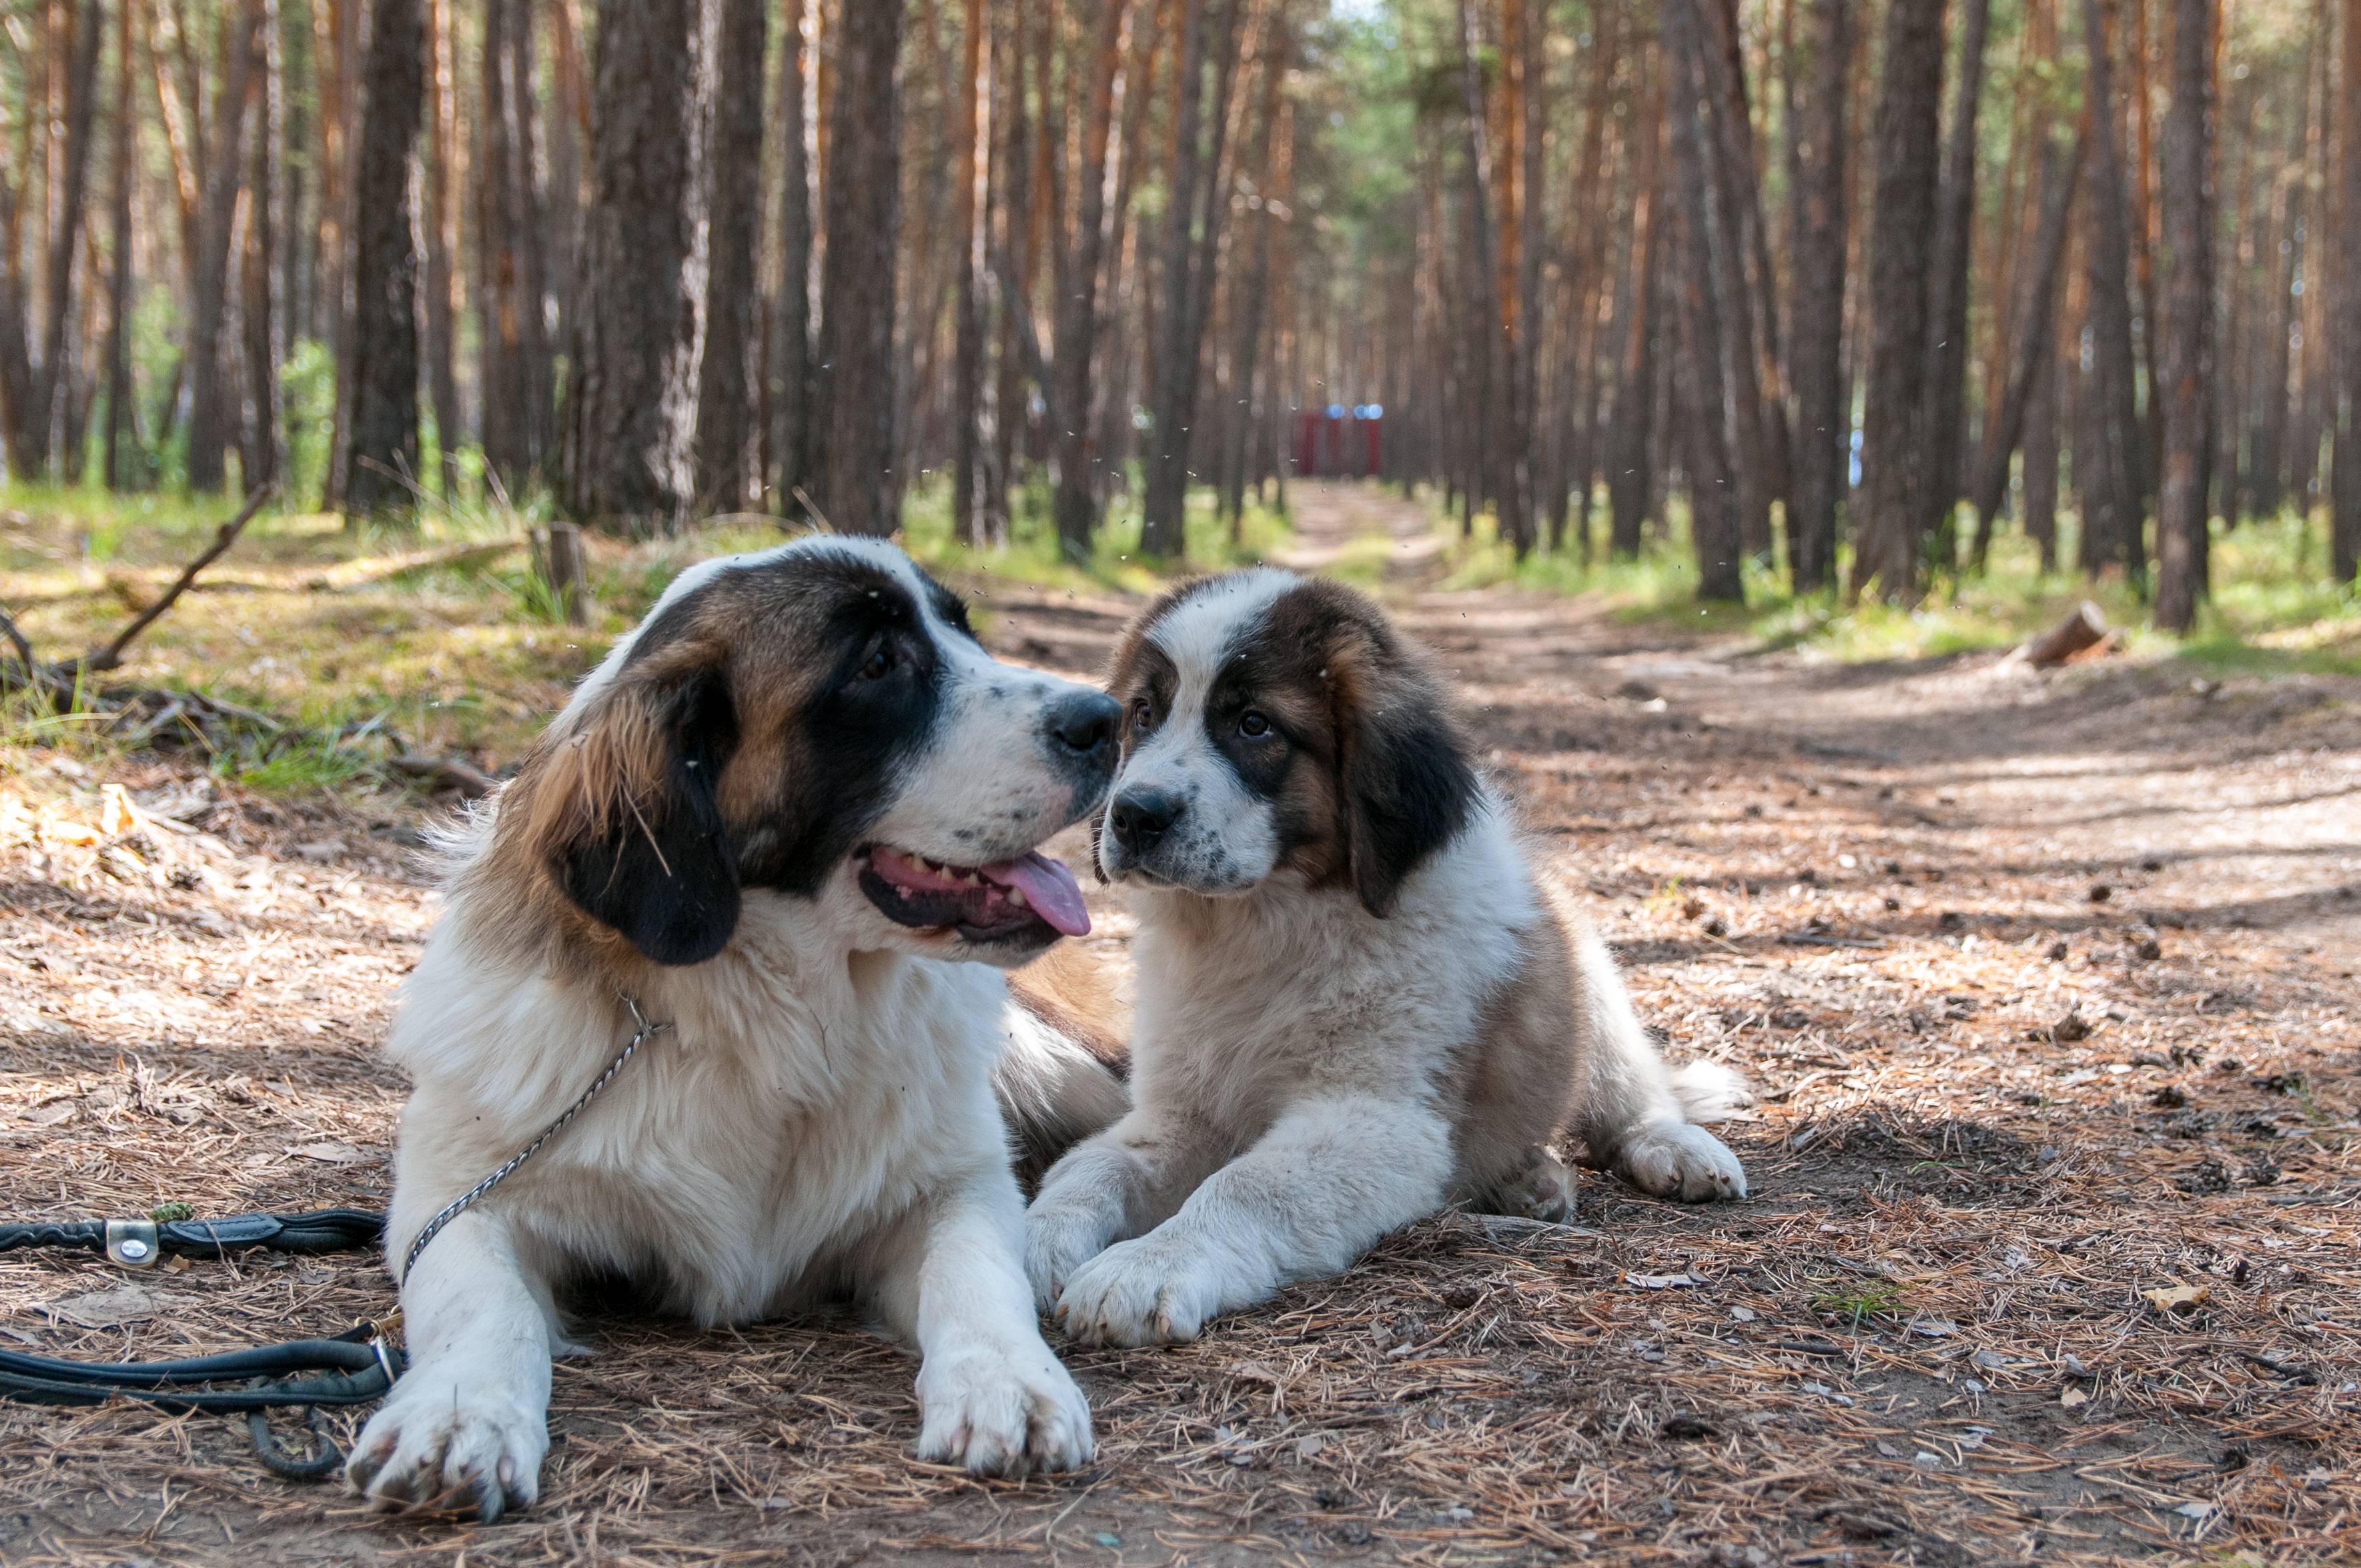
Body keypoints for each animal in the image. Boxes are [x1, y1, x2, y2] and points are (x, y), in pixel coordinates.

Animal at [344, 538, 1128, 1521]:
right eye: (877, 663)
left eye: (963, 629)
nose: (1109, 717)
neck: (768, 1021)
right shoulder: (460, 1199)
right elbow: (480, 1299)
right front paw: (457, 1412)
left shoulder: (951, 1185)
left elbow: (978, 1270)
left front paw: (1006, 1381)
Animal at [1024, 574, 1747, 1351]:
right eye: (1143, 714)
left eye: (1253, 725)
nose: (1133, 814)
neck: (1261, 929)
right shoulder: (1180, 1112)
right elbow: (1096, 1165)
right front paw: (1028, 1242)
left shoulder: (1375, 1116)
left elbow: (1244, 1185)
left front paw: (1148, 1265)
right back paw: (1531, 1177)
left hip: (1589, 987)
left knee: (1628, 1092)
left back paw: (1673, 1147)